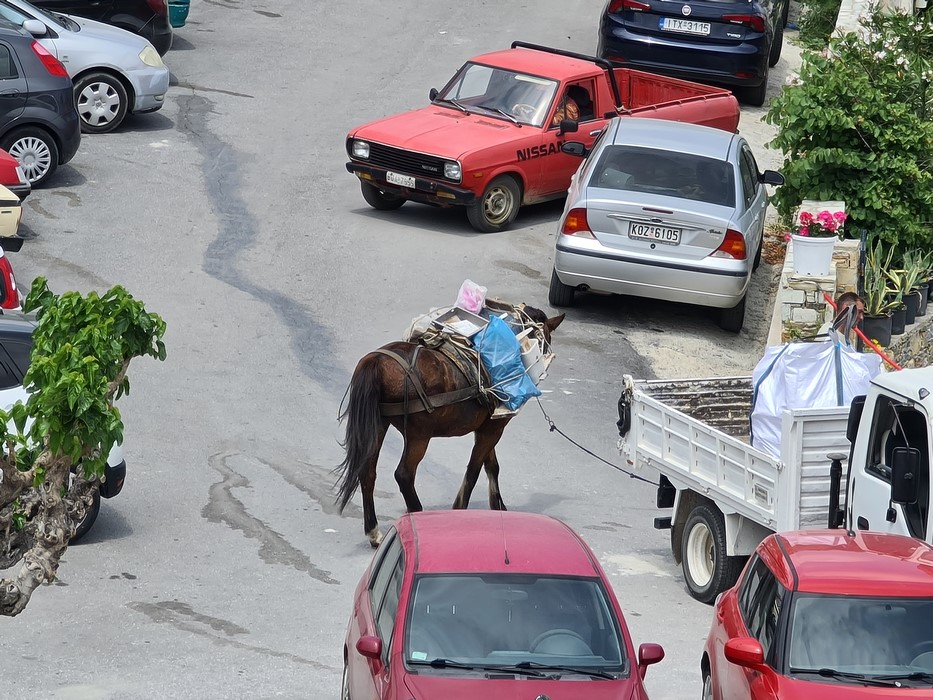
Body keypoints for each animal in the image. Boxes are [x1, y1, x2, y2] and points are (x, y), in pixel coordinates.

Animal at [338, 306, 564, 548]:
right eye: (545, 338)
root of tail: (378, 360)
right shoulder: (493, 429)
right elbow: (474, 471)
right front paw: (460, 510)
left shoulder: (486, 429)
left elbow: (491, 467)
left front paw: (498, 508)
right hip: (419, 436)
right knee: (404, 474)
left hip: (380, 424)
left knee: (367, 472)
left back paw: (374, 531)